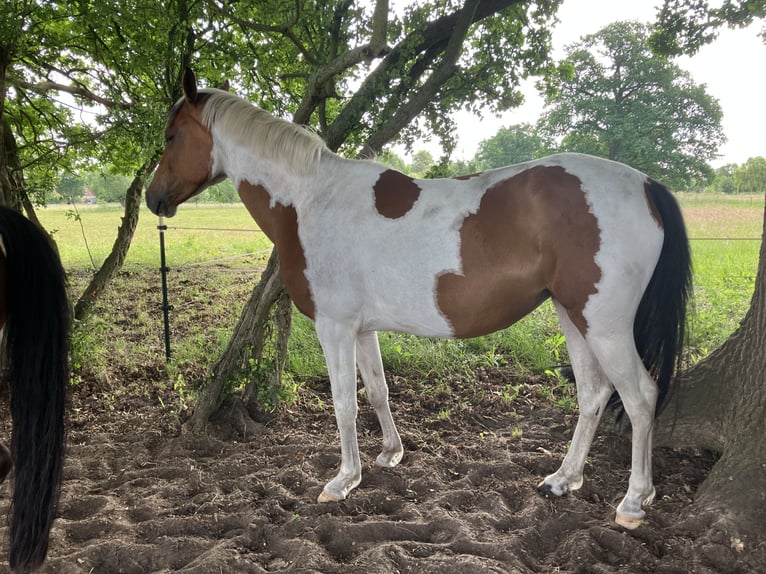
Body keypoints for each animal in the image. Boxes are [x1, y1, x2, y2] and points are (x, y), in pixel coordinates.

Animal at [146, 69, 692, 529]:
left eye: (171, 136)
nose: (154, 199)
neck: (310, 199)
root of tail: (647, 184)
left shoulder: (334, 326)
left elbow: (343, 403)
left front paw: (342, 482)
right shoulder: (361, 328)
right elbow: (377, 391)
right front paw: (389, 455)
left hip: (605, 324)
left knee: (639, 398)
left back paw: (633, 502)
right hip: (572, 316)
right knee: (593, 394)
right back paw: (563, 479)